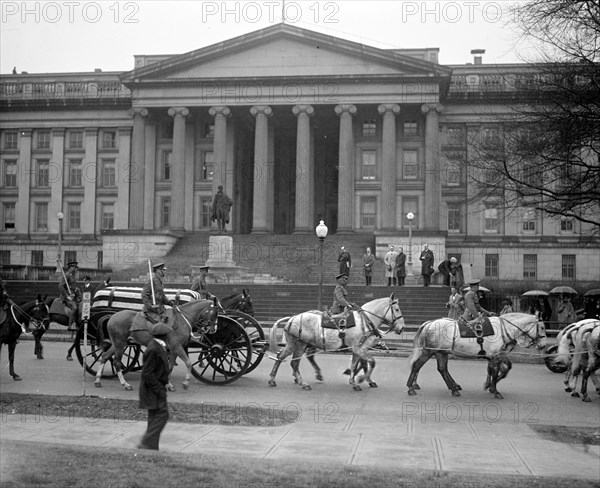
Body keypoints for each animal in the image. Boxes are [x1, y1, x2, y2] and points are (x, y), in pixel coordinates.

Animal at [268, 294, 406, 392]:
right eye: (397, 309)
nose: (402, 327)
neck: (365, 321)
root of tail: (292, 318)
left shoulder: (359, 349)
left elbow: (356, 364)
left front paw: (355, 381)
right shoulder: (359, 348)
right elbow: (371, 362)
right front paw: (361, 378)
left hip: (292, 345)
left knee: (280, 357)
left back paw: (272, 379)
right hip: (300, 345)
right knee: (294, 363)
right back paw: (303, 382)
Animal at [406, 312, 548, 400]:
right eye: (541, 327)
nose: (544, 345)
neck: (503, 329)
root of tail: (429, 323)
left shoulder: (496, 356)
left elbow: (498, 369)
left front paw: (490, 386)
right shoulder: (496, 356)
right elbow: (495, 372)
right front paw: (495, 390)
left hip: (441, 352)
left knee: (442, 369)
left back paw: (454, 388)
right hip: (429, 351)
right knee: (417, 365)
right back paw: (411, 387)